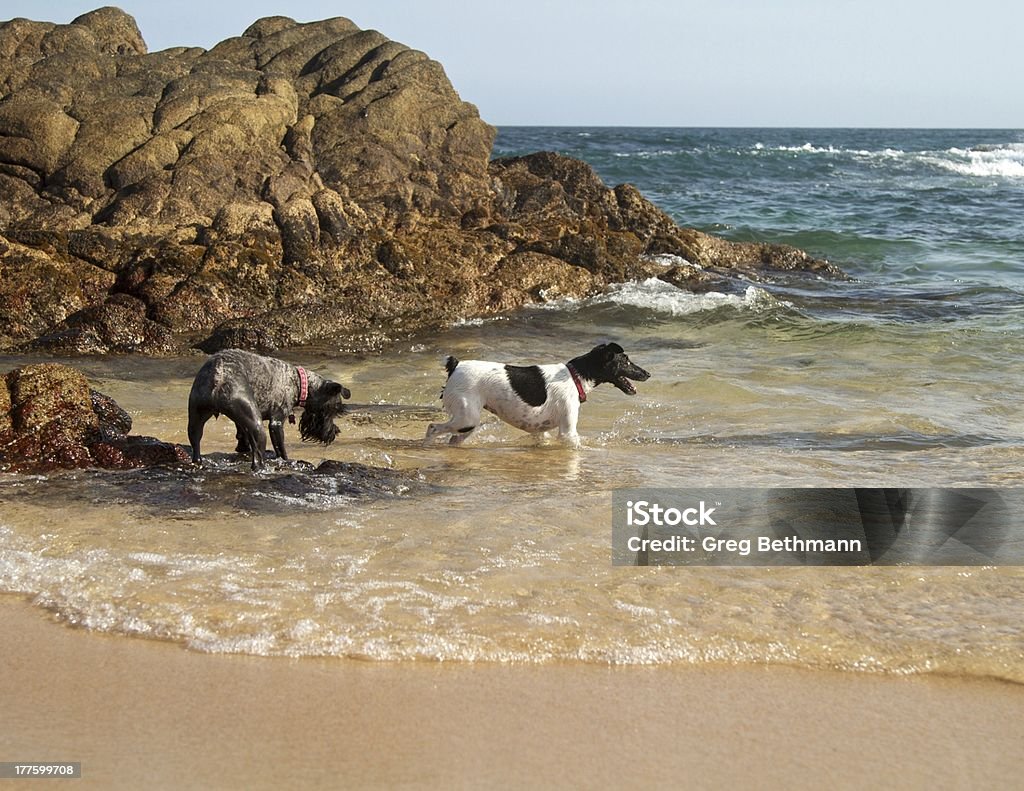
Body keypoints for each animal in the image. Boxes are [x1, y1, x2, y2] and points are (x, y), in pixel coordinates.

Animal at [188, 348, 352, 469]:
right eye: (333, 410)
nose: (334, 432)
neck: (300, 382)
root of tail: (219, 375)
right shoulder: (276, 423)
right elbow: (281, 450)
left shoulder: (240, 423)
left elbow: (241, 436)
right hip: (258, 428)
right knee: (258, 458)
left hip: (195, 421)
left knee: (196, 444)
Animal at [423, 342, 647, 448]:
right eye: (626, 361)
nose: (648, 374)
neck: (576, 376)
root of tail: (455, 365)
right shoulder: (567, 432)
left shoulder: (540, 431)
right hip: (467, 419)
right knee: (432, 428)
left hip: (466, 426)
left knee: (451, 439)